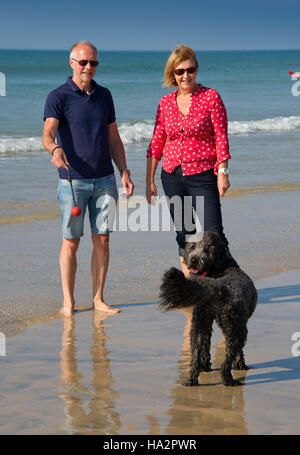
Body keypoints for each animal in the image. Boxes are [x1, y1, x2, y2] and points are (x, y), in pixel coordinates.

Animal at [159, 233, 258, 386]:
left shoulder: (206, 322)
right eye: (193, 247)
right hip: (236, 329)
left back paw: (192, 379)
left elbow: (205, 345)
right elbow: (239, 352)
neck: (221, 269)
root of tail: (219, 286)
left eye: (206, 249)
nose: (193, 260)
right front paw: (240, 365)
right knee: (227, 359)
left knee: (195, 355)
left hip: (198, 325)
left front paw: (205, 367)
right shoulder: (238, 325)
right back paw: (229, 380)